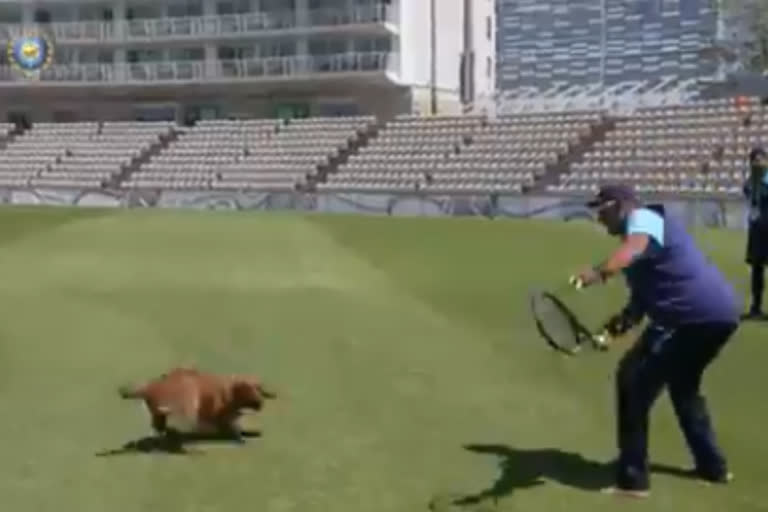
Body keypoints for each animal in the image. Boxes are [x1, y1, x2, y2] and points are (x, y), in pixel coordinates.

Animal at [118, 366, 274, 446]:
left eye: (259, 390)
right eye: (253, 394)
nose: (261, 404)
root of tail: (151, 387)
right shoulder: (220, 415)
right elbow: (230, 427)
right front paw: (239, 437)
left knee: (160, 422)